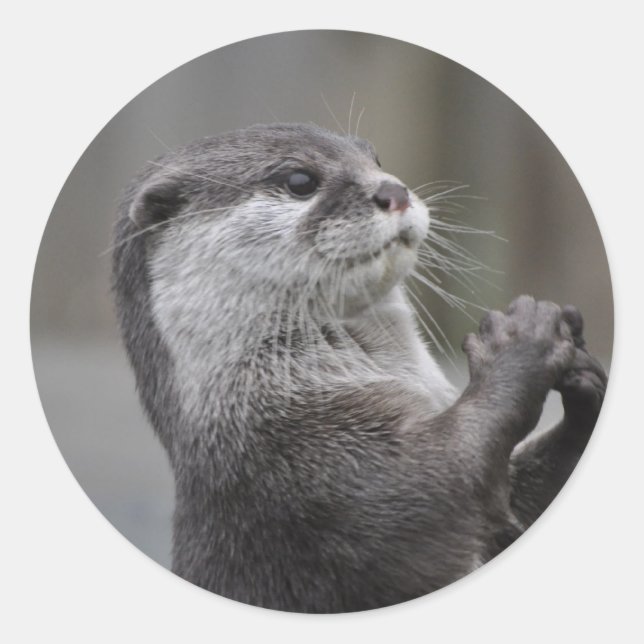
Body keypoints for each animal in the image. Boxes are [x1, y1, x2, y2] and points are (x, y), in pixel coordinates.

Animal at [111, 123, 606, 613]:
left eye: (376, 160)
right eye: (299, 181)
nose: (394, 191)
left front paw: (585, 381)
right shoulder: (312, 475)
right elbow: (443, 477)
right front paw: (522, 338)